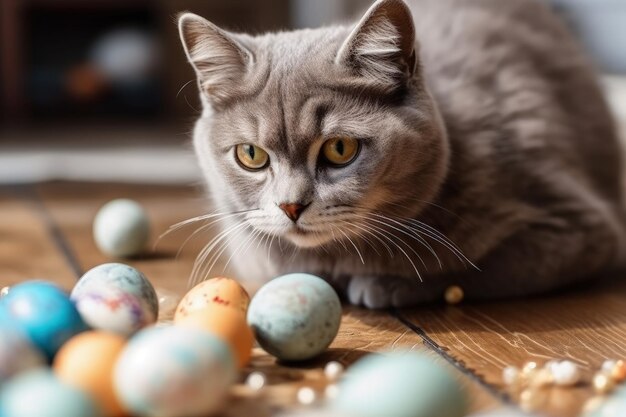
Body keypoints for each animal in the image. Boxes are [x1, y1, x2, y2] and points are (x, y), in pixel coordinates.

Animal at [176, 0, 624, 306]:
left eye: (340, 149)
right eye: (251, 155)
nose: (290, 206)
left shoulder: (576, 227)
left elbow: (471, 268)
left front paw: (386, 283)